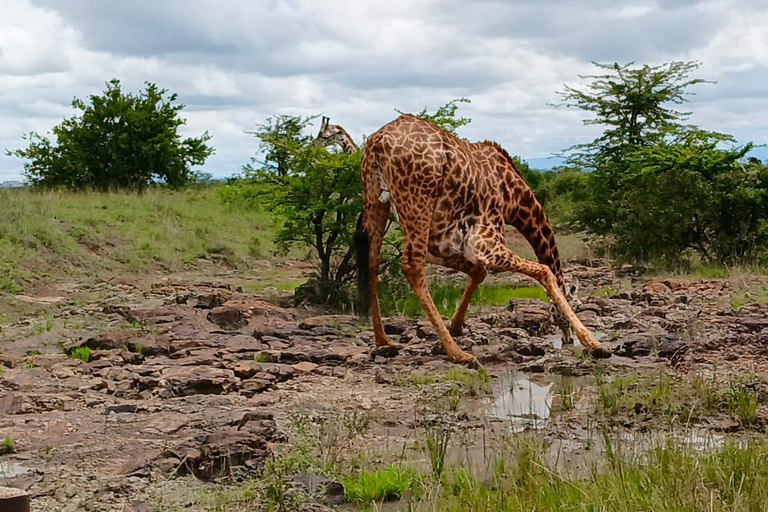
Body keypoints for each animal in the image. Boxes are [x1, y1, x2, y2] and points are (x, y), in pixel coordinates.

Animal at [356, 116, 608, 364]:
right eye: (577, 305)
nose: (567, 339)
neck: (515, 199)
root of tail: (378, 141)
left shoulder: (442, 242)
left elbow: (479, 272)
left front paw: (455, 325)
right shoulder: (483, 241)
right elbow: (544, 271)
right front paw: (593, 343)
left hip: (375, 199)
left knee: (372, 263)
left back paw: (383, 342)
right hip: (418, 200)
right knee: (411, 265)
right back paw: (458, 353)